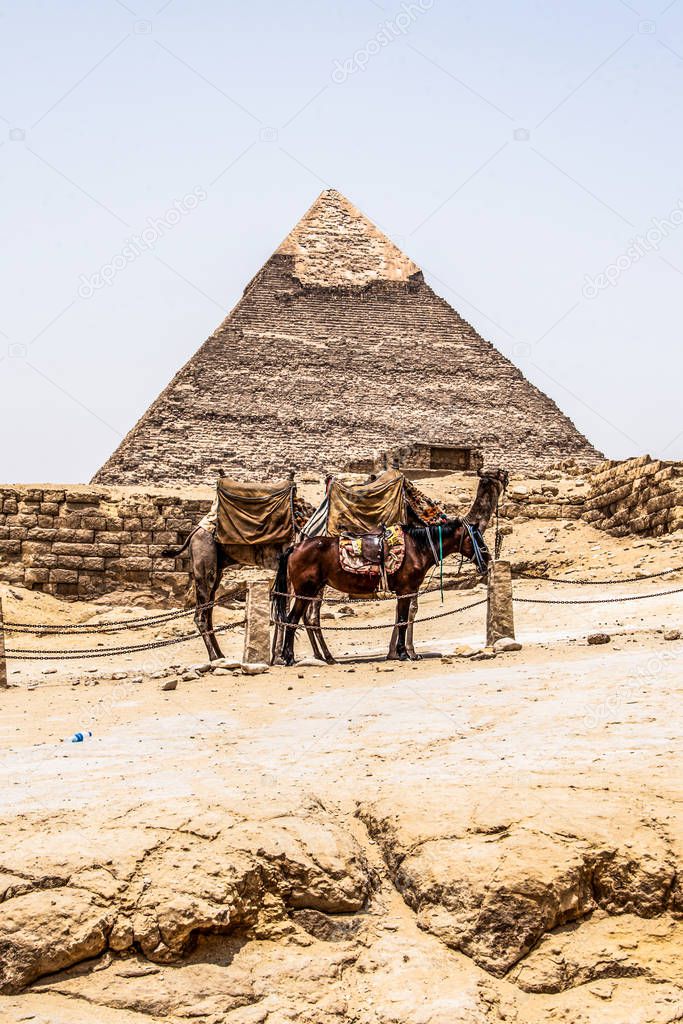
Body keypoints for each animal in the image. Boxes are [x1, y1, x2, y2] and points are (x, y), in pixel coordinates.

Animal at [272, 468, 507, 667]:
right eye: (475, 537)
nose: (486, 557)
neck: (421, 545)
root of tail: (295, 546)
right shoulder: (406, 588)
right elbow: (405, 617)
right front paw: (404, 653)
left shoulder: (408, 589)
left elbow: (403, 616)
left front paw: (399, 652)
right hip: (306, 587)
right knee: (295, 618)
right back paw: (293, 657)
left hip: (312, 587)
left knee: (299, 616)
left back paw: (314, 656)